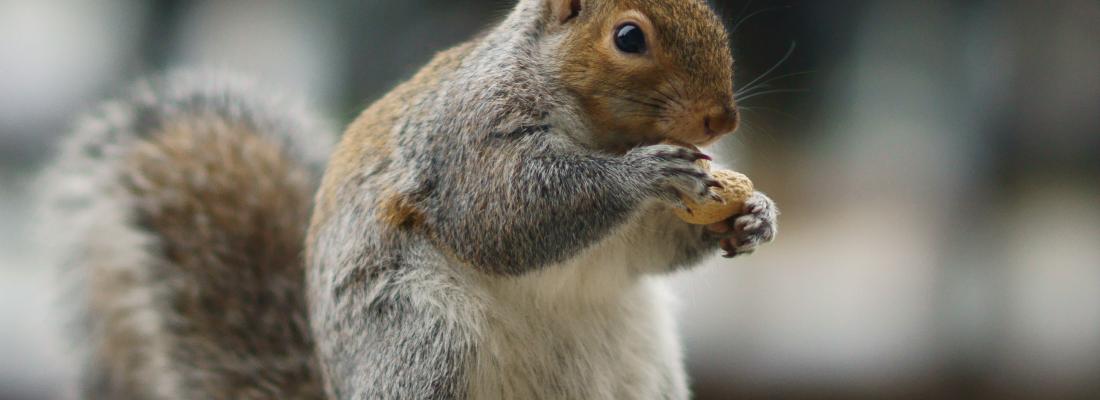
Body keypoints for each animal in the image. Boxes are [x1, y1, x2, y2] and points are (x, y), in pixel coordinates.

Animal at [43, 0, 778, 399]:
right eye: (629, 37)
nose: (722, 121)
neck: (604, 134)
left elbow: (651, 248)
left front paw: (752, 216)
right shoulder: (466, 138)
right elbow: (505, 215)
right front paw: (643, 175)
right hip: (424, 341)